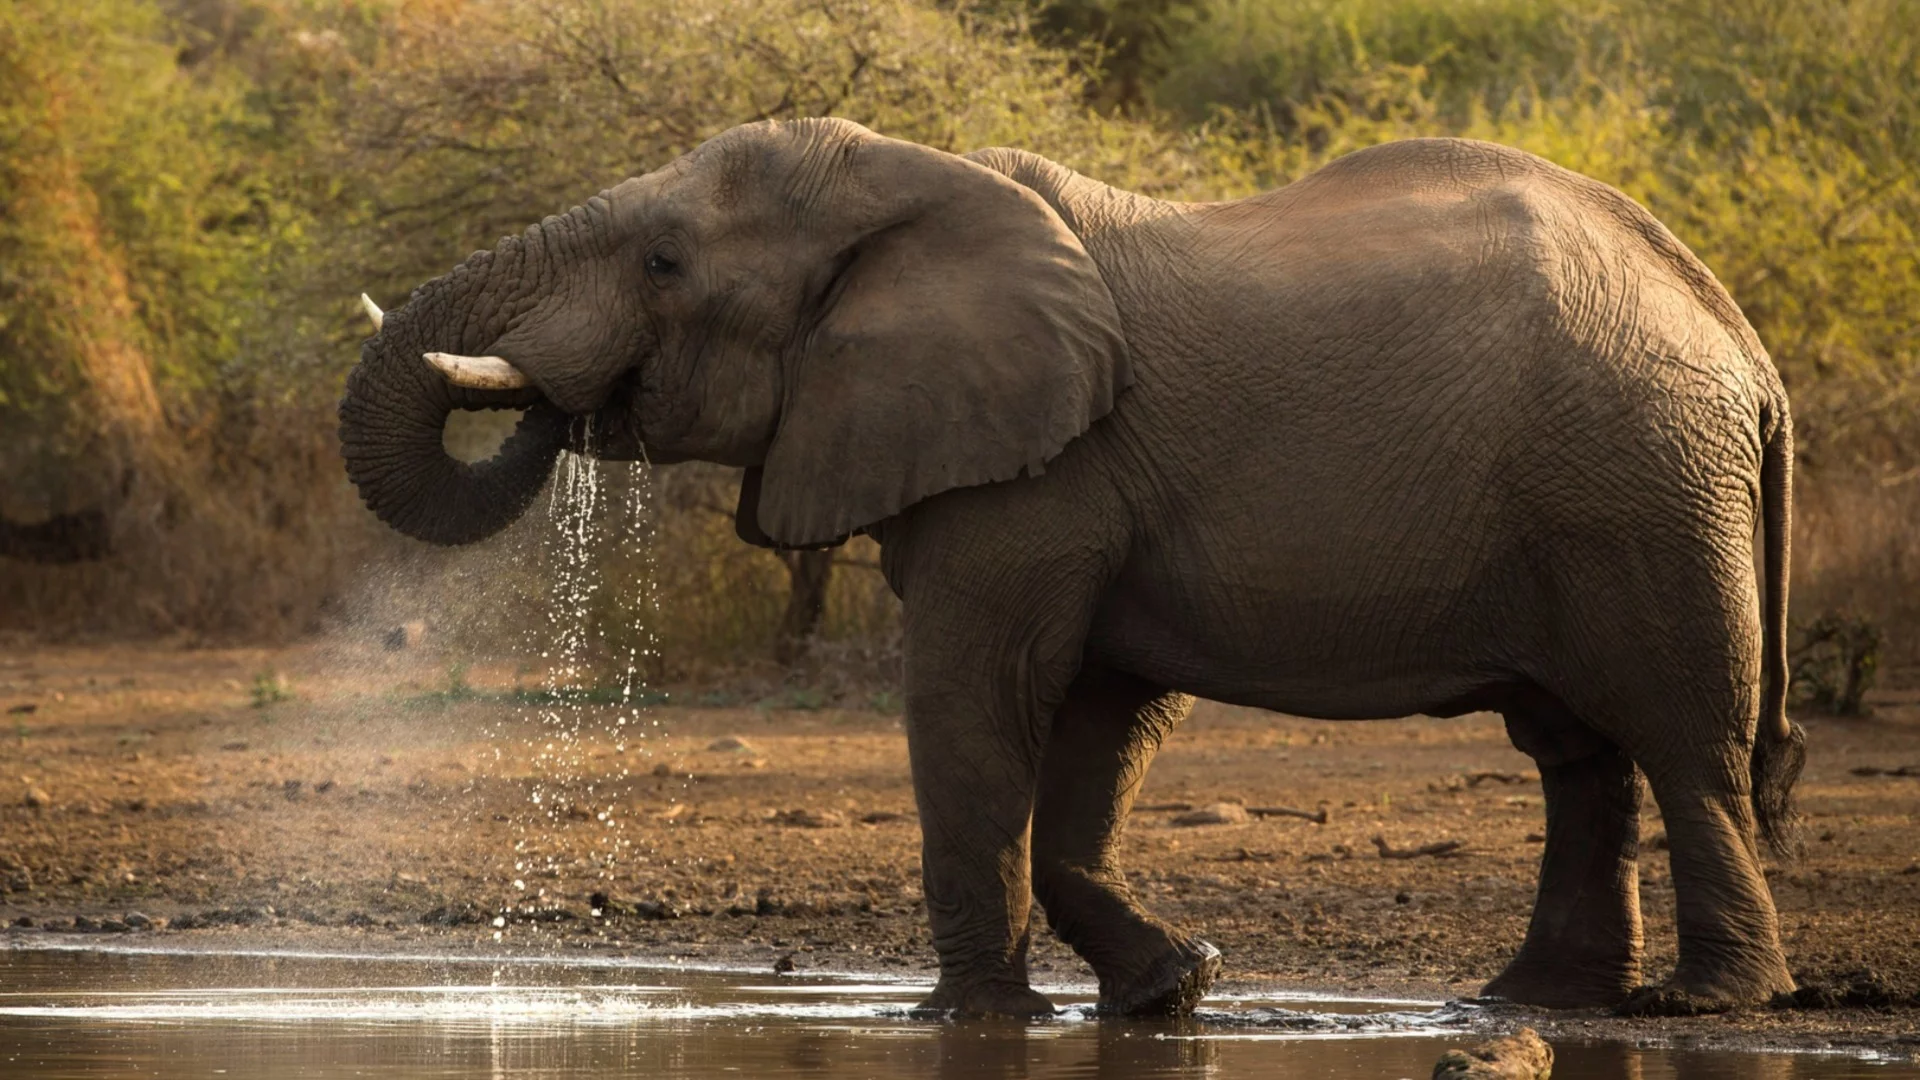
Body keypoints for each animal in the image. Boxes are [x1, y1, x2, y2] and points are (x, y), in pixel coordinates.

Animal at [339, 118, 1807, 1018]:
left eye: (662, 260)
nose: (563, 402)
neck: (915, 183)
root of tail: (1740, 335)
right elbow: (1102, 719)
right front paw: (1173, 989)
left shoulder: (1037, 475)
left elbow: (977, 701)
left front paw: (966, 1018)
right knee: (1578, 752)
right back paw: (1528, 1003)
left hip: (1642, 485)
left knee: (1682, 737)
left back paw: (1703, 1003)